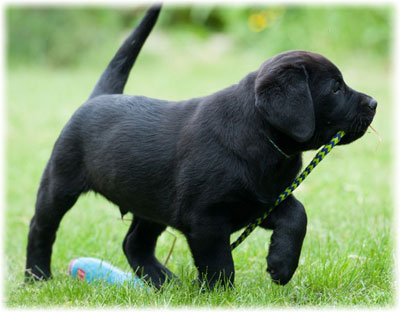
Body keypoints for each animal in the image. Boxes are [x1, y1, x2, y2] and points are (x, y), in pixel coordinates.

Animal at [26, 5, 376, 288]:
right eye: (335, 88)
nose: (373, 102)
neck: (259, 135)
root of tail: (99, 96)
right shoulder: (206, 218)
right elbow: (220, 263)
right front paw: (221, 294)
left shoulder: (262, 200)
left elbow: (298, 214)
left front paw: (281, 266)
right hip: (60, 182)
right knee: (41, 227)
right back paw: (37, 276)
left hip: (151, 202)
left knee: (134, 243)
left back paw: (163, 281)